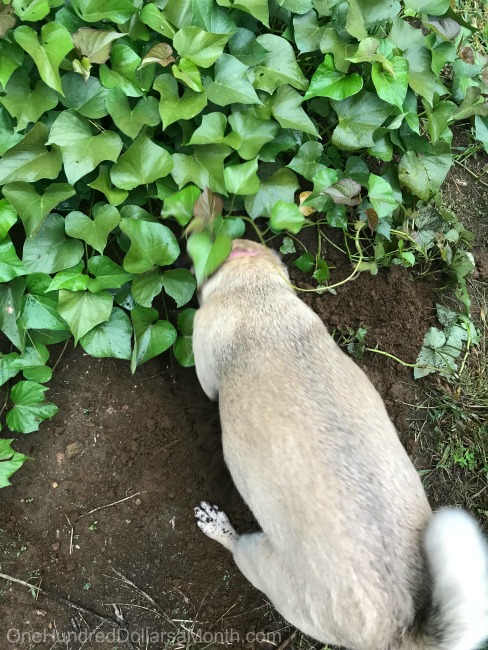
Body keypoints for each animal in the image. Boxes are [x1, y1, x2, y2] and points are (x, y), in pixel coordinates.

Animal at [192, 238, 488, 650]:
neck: (256, 293)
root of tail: (399, 626)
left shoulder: (205, 359)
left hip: (262, 562)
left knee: (238, 547)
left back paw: (217, 526)